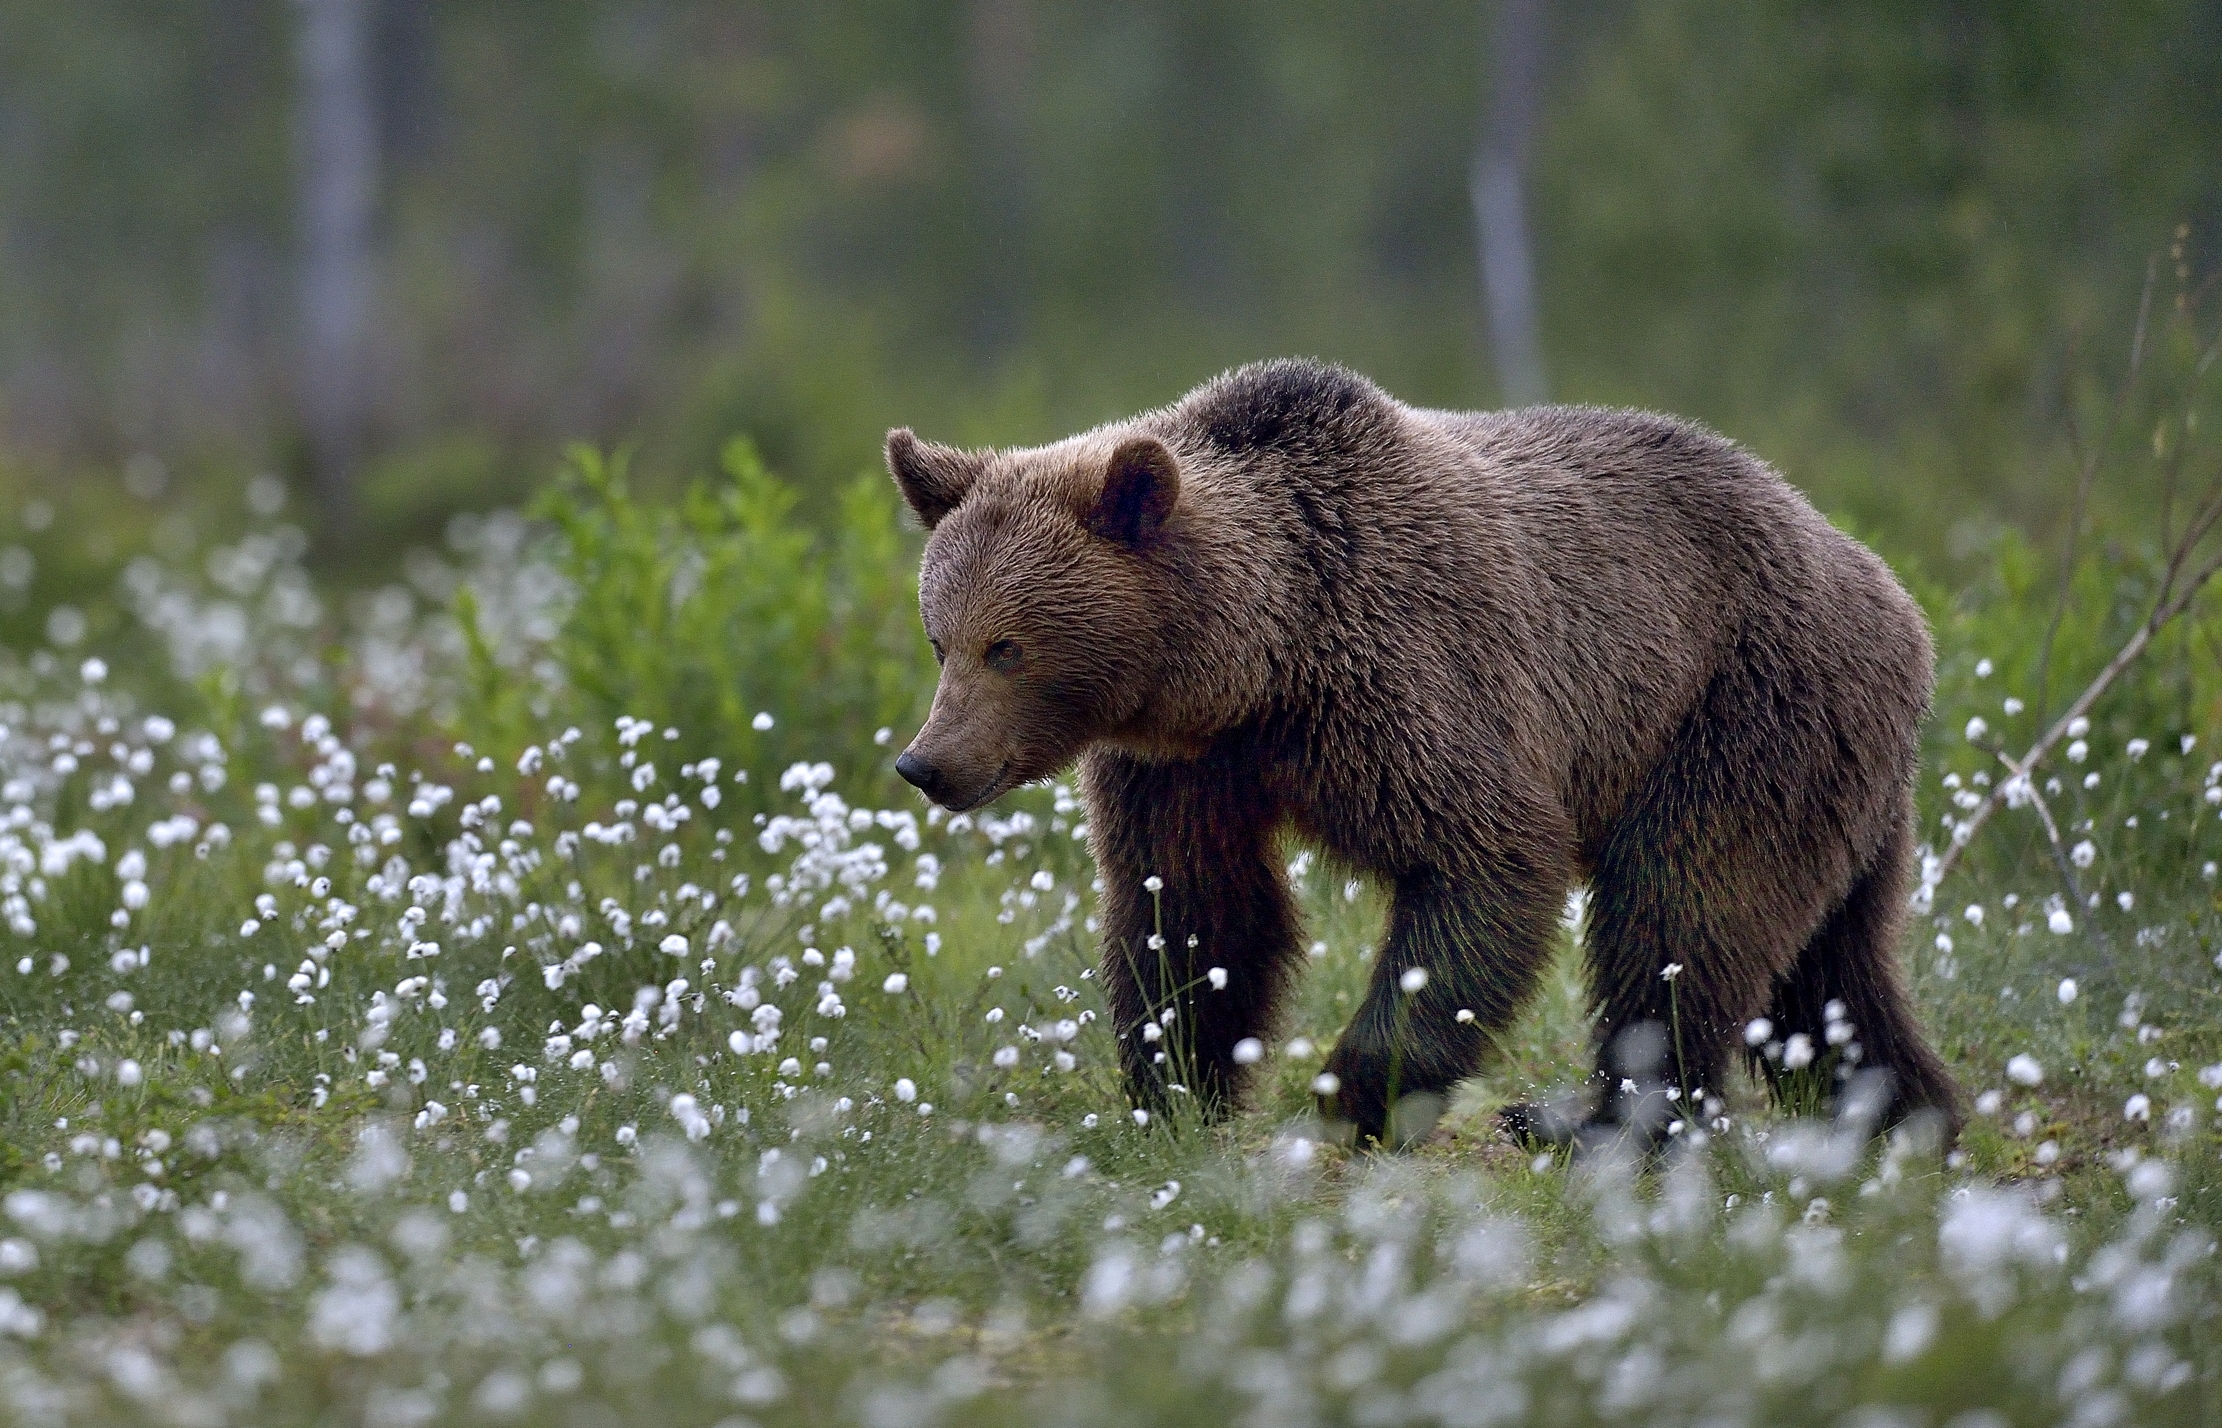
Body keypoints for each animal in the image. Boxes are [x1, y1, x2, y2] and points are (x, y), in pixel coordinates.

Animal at [886, 358, 1962, 1151]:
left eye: (1006, 646)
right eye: (940, 637)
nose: (927, 764)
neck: (1255, 664)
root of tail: (1890, 590)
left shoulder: (1404, 680)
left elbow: (1484, 860)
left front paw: (1354, 1091)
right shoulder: (1185, 767)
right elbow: (1193, 907)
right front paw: (1176, 1089)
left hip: (1740, 704)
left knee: (1682, 910)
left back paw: (1594, 1123)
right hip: (1832, 772)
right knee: (1829, 963)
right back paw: (1904, 1115)